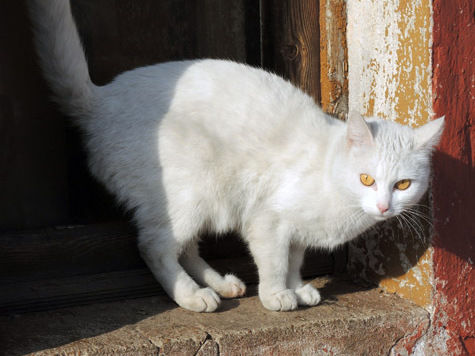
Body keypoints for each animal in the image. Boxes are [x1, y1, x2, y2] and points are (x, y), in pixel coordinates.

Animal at [28, 0, 446, 312]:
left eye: (403, 185)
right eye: (366, 179)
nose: (384, 207)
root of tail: (100, 101)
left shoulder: (296, 232)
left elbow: (294, 259)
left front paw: (298, 287)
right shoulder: (267, 219)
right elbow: (275, 261)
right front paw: (278, 295)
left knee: (185, 248)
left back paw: (220, 285)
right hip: (191, 192)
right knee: (155, 246)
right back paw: (191, 296)